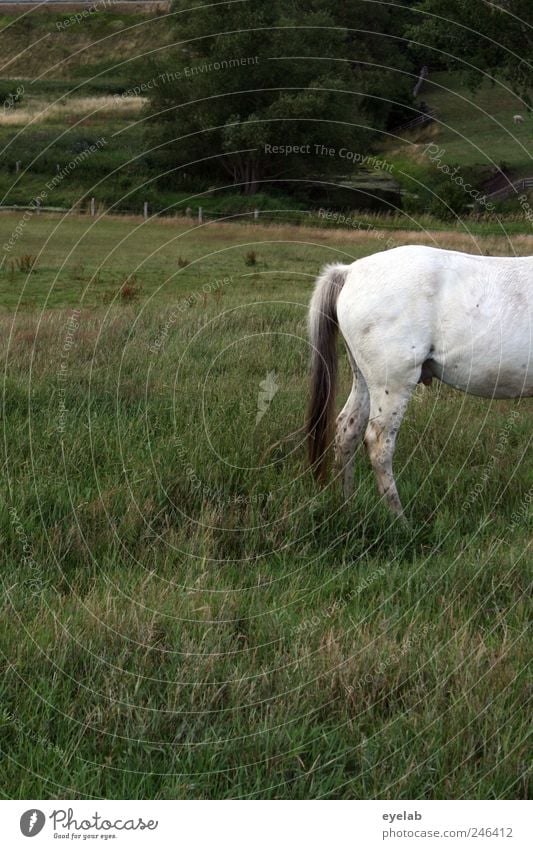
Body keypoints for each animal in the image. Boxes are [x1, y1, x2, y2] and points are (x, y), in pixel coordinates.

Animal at [306, 243, 528, 516]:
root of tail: (350, 271)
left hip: (365, 380)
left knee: (348, 429)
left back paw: (347, 505)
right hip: (393, 384)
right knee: (379, 445)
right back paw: (398, 519)